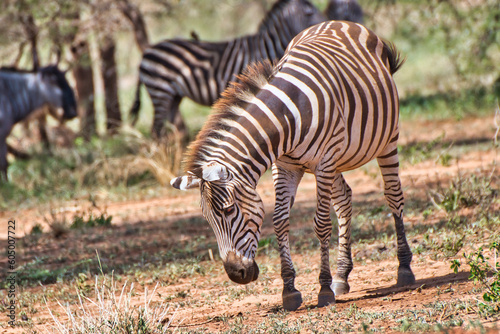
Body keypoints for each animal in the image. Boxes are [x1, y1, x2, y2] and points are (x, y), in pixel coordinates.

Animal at [129, 0, 326, 138]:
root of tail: (147, 52)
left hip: (173, 96)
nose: (328, 24)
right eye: (309, 12)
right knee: (156, 131)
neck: (264, 47)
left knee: (175, 130)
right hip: (160, 91)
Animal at [170, 20, 416, 312]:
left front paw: (323, 288)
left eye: (229, 210)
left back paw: (404, 268)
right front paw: (289, 290)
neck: (287, 118)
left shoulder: (324, 162)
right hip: (338, 159)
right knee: (344, 200)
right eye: (207, 219)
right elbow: (279, 220)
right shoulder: (285, 166)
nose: (236, 275)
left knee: (393, 196)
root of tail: (340, 22)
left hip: (387, 139)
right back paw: (342, 275)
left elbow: (321, 223)